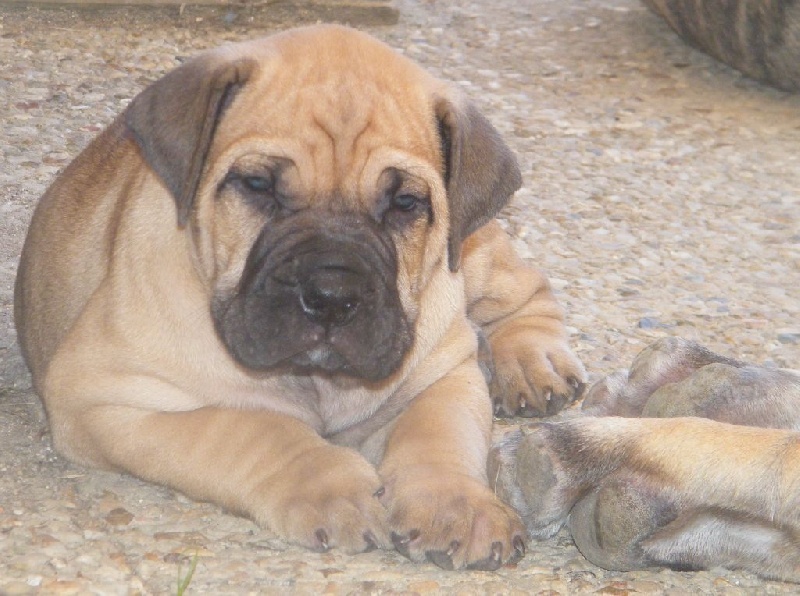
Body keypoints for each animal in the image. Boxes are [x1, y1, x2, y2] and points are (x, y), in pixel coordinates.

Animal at [15, 25, 584, 572]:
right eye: (257, 185)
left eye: (405, 203)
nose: (332, 295)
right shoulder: (100, 395)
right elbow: (248, 428)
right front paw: (332, 486)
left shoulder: (445, 373)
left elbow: (440, 436)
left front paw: (457, 506)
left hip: (474, 249)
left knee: (526, 288)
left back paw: (532, 363)